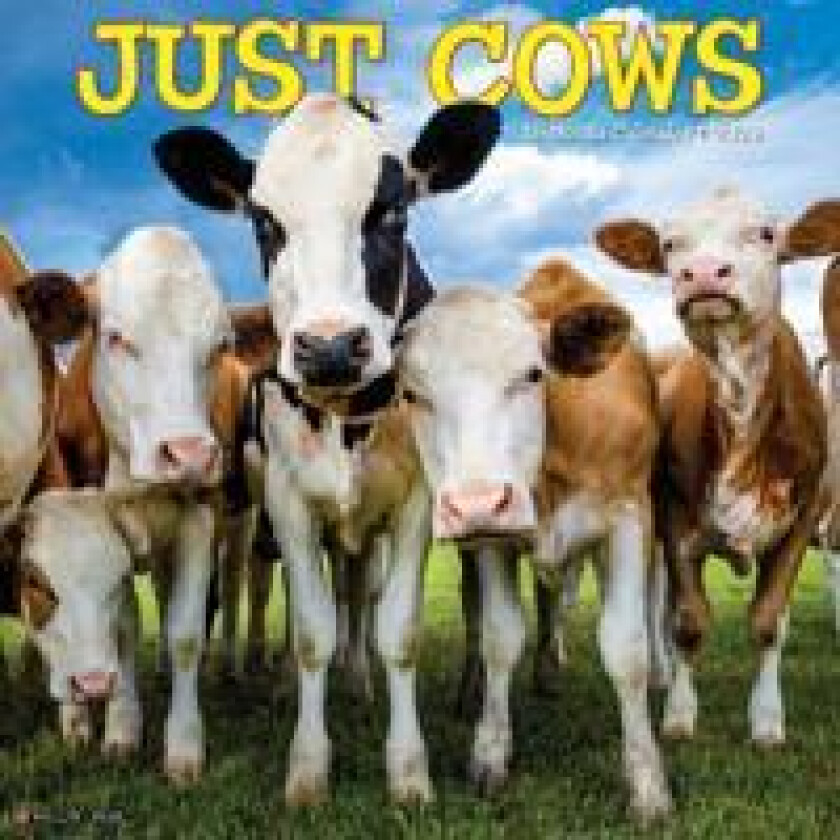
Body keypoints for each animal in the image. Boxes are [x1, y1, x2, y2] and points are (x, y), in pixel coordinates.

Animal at [153, 94, 501, 803]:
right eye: (264, 222)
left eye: (392, 211)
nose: (331, 346)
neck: (347, 417)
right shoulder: (287, 502)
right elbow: (312, 630)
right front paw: (309, 765)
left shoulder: (416, 503)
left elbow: (396, 630)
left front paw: (407, 769)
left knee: (358, 593)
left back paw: (360, 678)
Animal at [395, 260, 671, 821]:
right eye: (413, 395)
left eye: (531, 374)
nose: (477, 503)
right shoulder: (492, 543)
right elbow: (500, 637)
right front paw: (490, 752)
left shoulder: (629, 520)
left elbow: (626, 650)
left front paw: (648, 783)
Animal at [596, 187, 840, 745]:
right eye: (670, 244)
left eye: (767, 234)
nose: (704, 273)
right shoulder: (675, 519)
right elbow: (687, 622)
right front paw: (680, 715)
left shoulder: (804, 519)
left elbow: (770, 621)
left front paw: (767, 720)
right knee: (656, 600)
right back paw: (661, 673)